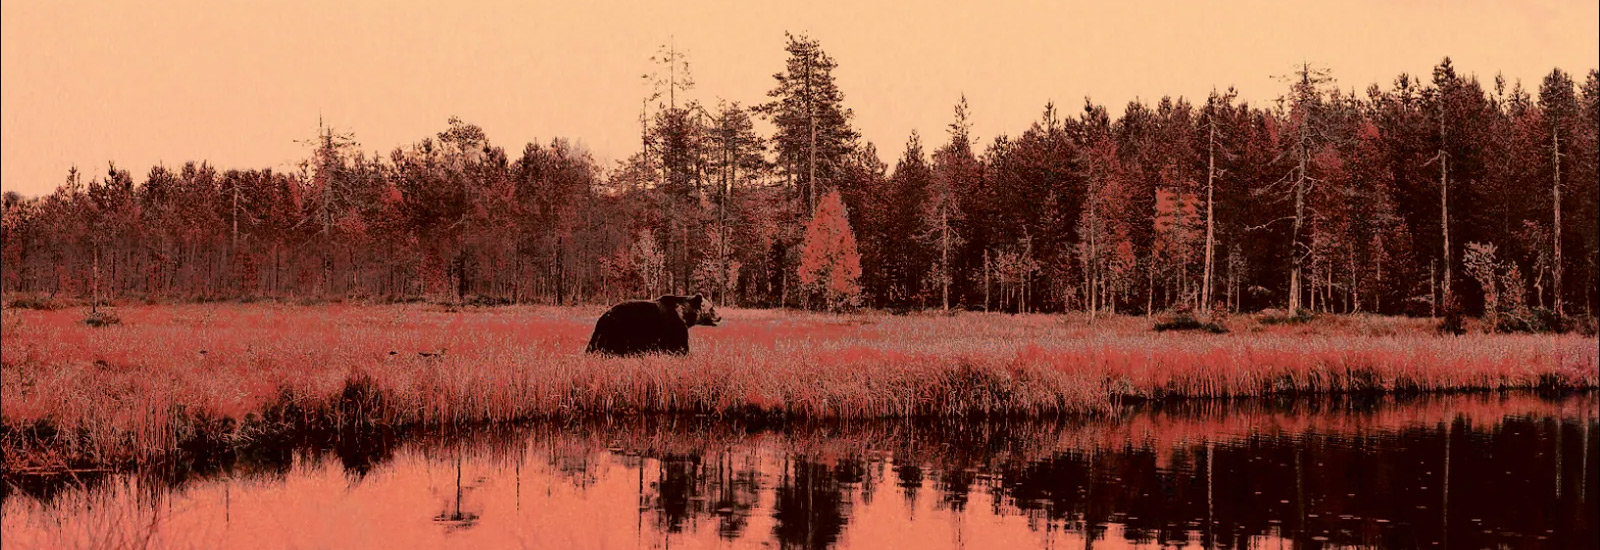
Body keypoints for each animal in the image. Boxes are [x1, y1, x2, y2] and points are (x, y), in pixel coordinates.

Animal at [585, 292, 723, 356]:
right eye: (712, 308)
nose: (720, 317)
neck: (684, 314)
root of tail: (604, 317)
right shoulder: (674, 324)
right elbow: (679, 345)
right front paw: (685, 353)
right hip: (618, 330)